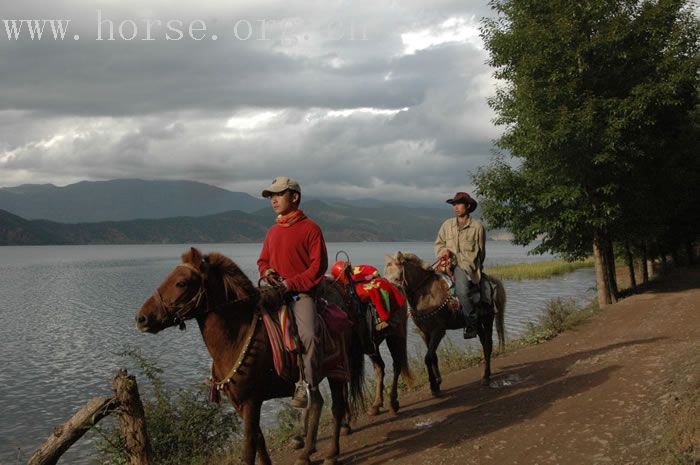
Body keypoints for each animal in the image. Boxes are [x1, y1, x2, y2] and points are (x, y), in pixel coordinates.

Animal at [137, 248, 366, 464]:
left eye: (181, 283)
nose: (141, 318)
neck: (236, 337)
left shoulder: (251, 401)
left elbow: (248, 450)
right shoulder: (239, 403)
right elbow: (259, 441)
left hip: (336, 371)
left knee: (336, 407)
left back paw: (331, 453)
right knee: (317, 404)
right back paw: (306, 453)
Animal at [386, 252, 506, 394]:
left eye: (397, 276)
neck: (426, 295)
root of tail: (492, 281)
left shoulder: (438, 331)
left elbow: (428, 358)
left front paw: (434, 386)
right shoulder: (424, 333)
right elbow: (433, 356)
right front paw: (438, 381)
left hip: (488, 319)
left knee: (488, 345)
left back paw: (486, 377)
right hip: (477, 324)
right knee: (484, 343)